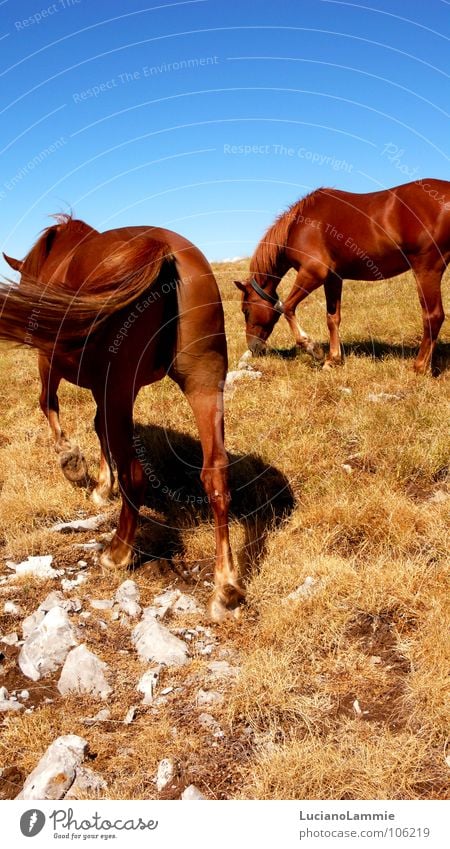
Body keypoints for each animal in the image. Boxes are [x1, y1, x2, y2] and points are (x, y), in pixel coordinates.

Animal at [0, 215, 244, 620]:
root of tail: (163, 250)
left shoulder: (50, 362)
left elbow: (48, 404)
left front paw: (72, 462)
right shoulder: (109, 390)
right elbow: (99, 429)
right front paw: (102, 484)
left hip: (121, 387)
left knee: (136, 474)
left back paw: (117, 552)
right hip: (204, 383)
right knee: (215, 474)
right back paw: (226, 587)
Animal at [236, 178, 450, 372]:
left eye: (246, 310)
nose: (253, 348)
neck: (297, 225)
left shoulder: (313, 273)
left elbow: (286, 307)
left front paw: (313, 349)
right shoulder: (333, 279)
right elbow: (332, 318)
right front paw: (332, 359)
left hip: (426, 269)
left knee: (433, 316)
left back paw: (419, 367)